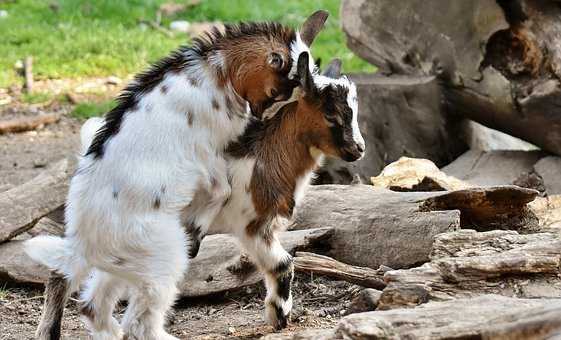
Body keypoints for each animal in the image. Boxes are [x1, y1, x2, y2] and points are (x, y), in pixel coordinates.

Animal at [23, 11, 328, 340]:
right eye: (277, 92)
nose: (264, 118)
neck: (215, 73)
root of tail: (84, 239)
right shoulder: (208, 152)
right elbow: (221, 189)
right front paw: (197, 231)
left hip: (122, 261)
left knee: (81, 292)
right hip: (160, 254)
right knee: (137, 319)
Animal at [203, 52, 366, 330]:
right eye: (330, 113)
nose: (359, 148)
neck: (261, 156)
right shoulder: (252, 223)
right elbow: (283, 263)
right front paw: (279, 315)